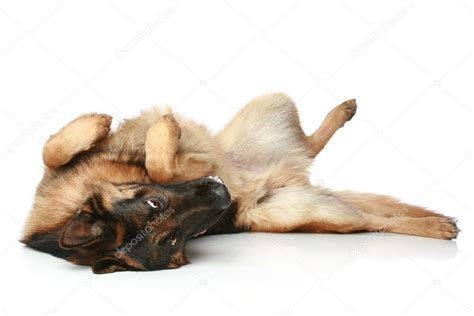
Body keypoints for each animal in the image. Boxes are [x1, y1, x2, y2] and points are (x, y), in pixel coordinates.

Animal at [22, 93, 460, 274]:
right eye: (175, 239)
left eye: (153, 204)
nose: (224, 197)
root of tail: (282, 173)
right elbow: (161, 167)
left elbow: (50, 150)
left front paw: (101, 124)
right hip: (315, 212)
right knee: (375, 219)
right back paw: (437, 226)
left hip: (269, 106)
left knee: (310, 142)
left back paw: (342, 112)